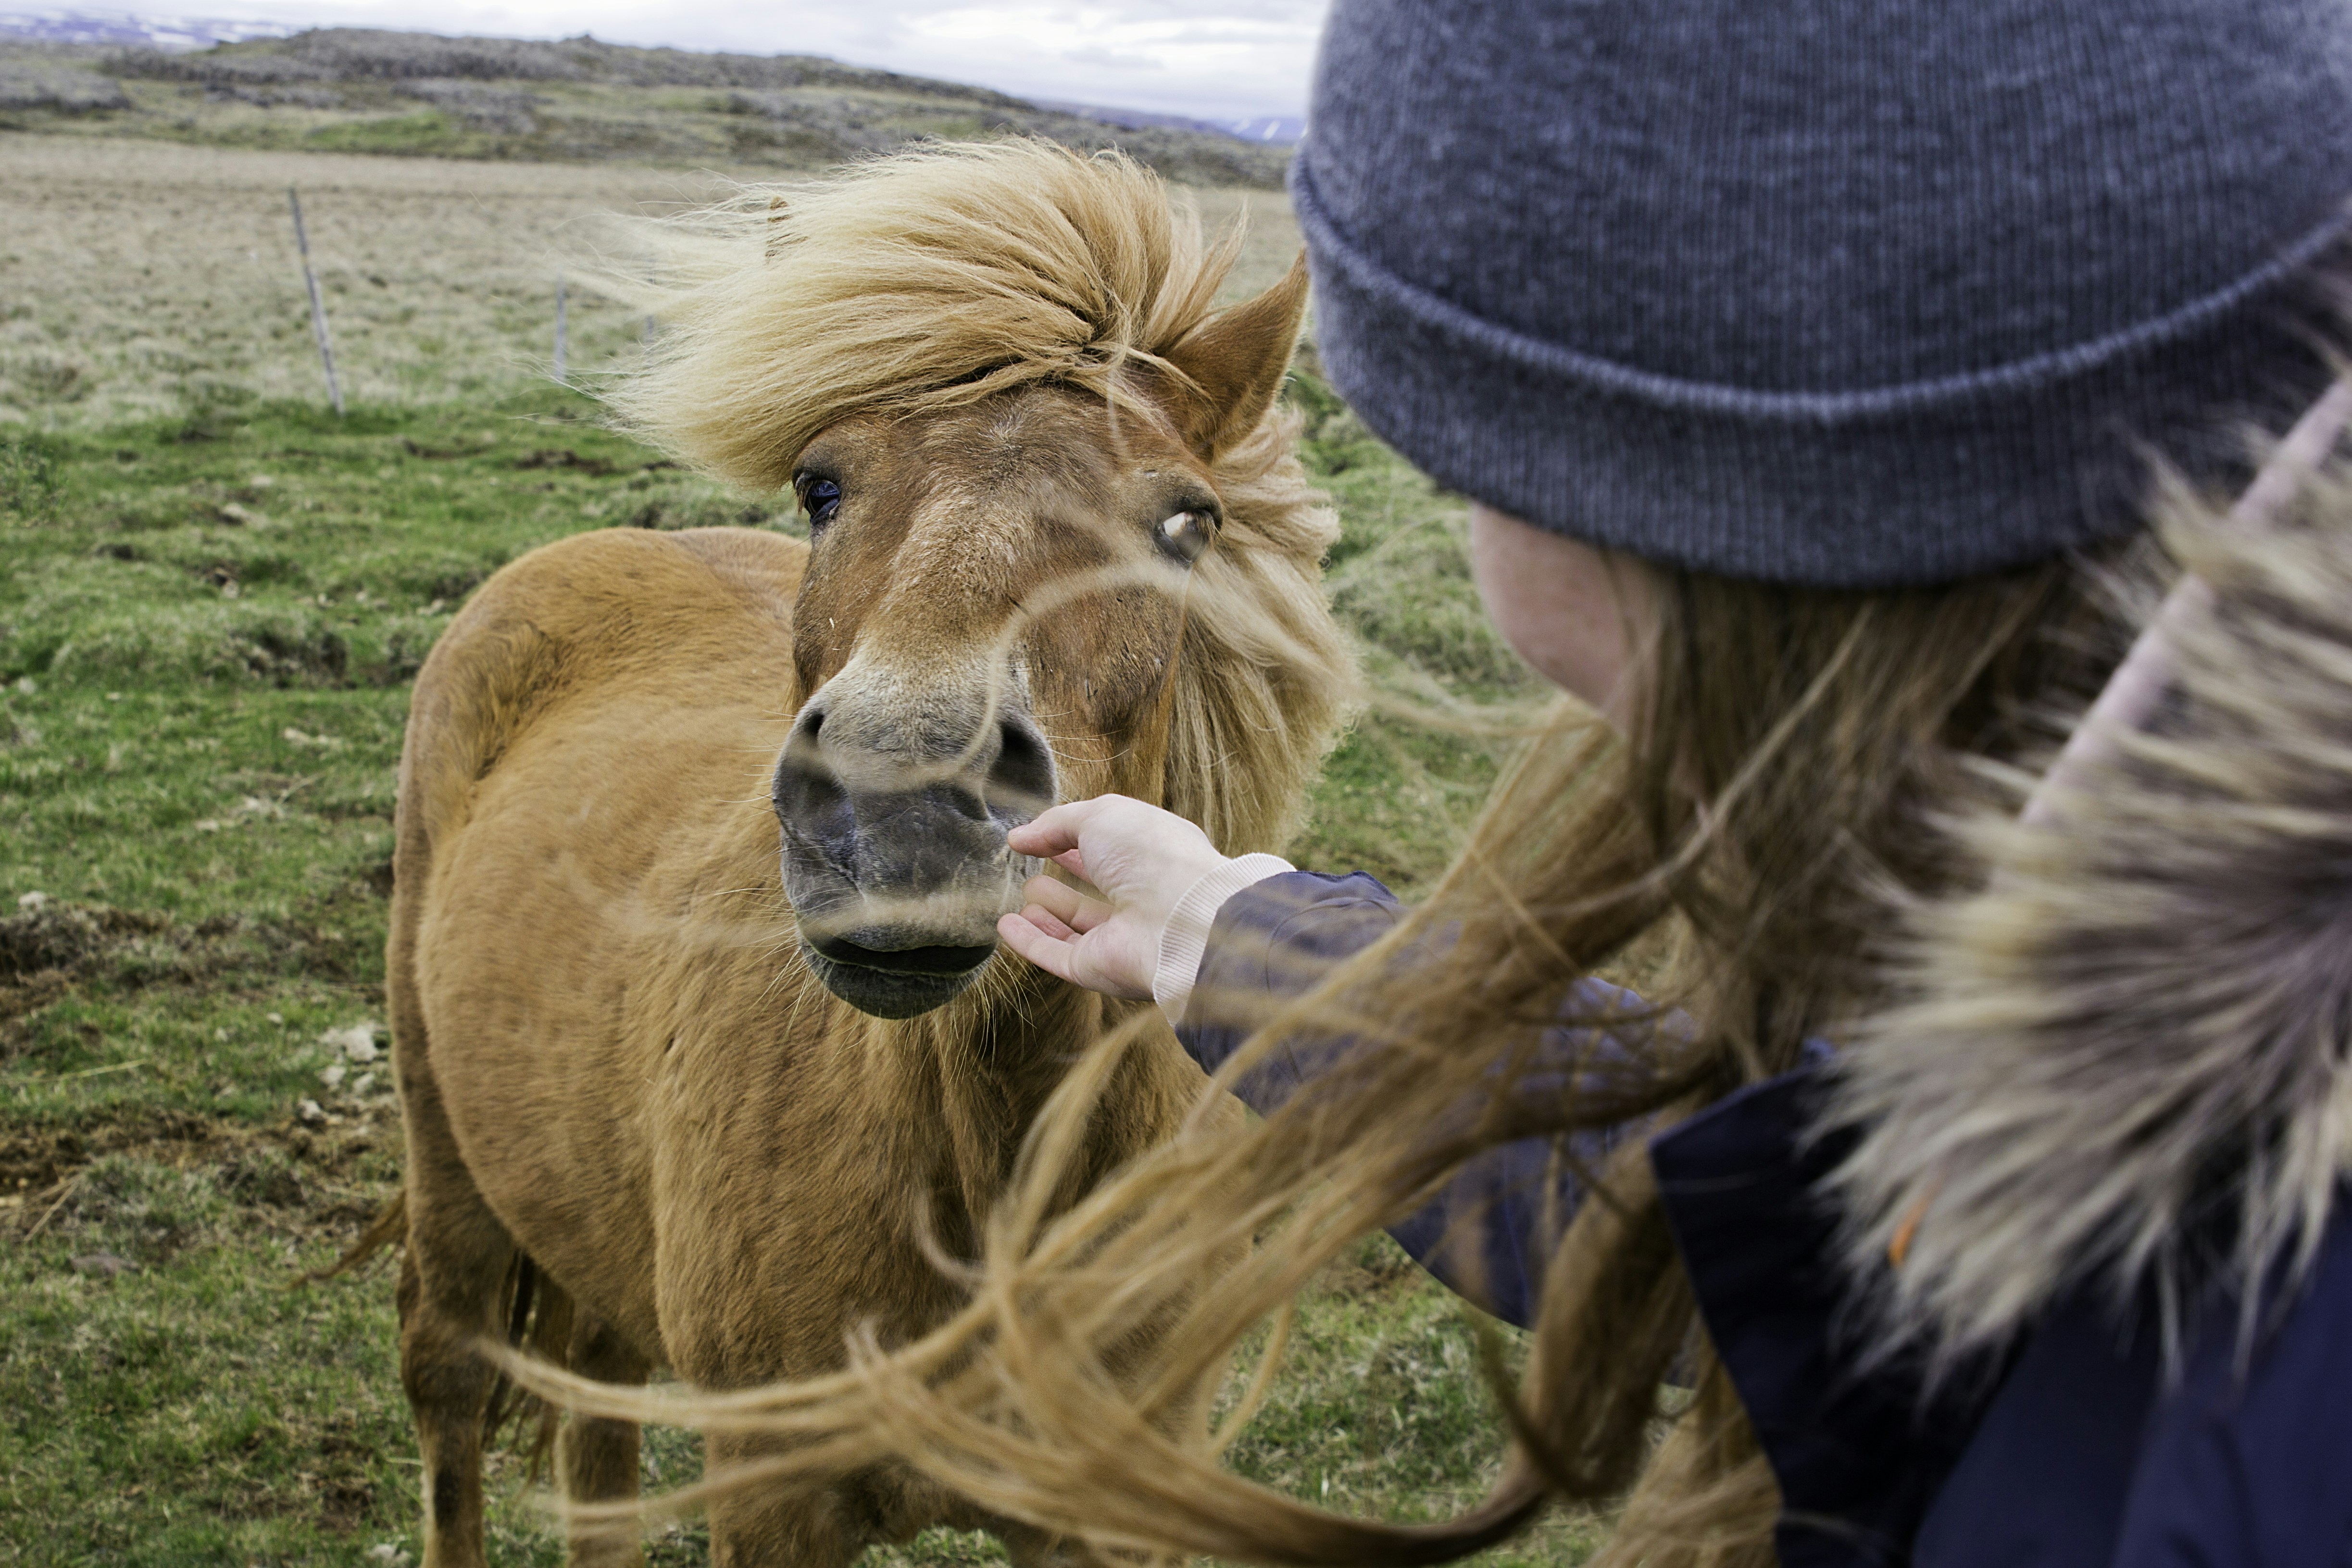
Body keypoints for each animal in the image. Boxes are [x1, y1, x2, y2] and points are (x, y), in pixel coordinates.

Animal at [381, 141, 1352, 1567]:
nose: (898, 813)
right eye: (818, 485)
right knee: (449, 1387)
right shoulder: (771, 1484)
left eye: (1185, 521)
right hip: (447, 1159)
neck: (988, 1189)